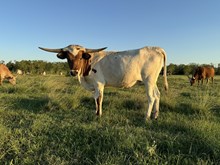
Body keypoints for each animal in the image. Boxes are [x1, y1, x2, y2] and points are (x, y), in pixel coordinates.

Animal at [39, 44, 168, 120]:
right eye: (68, 58)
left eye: (80, 57)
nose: (74, 72)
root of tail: (156, 48)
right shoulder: (94, 85)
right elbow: (95, 98)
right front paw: (96, 112)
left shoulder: (99, 84)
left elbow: (99, 98)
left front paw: (99, 114)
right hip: (153, 82)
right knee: (157, 95)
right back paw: (155, 115)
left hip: (148, 81)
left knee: (151, 97)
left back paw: (146, 117)